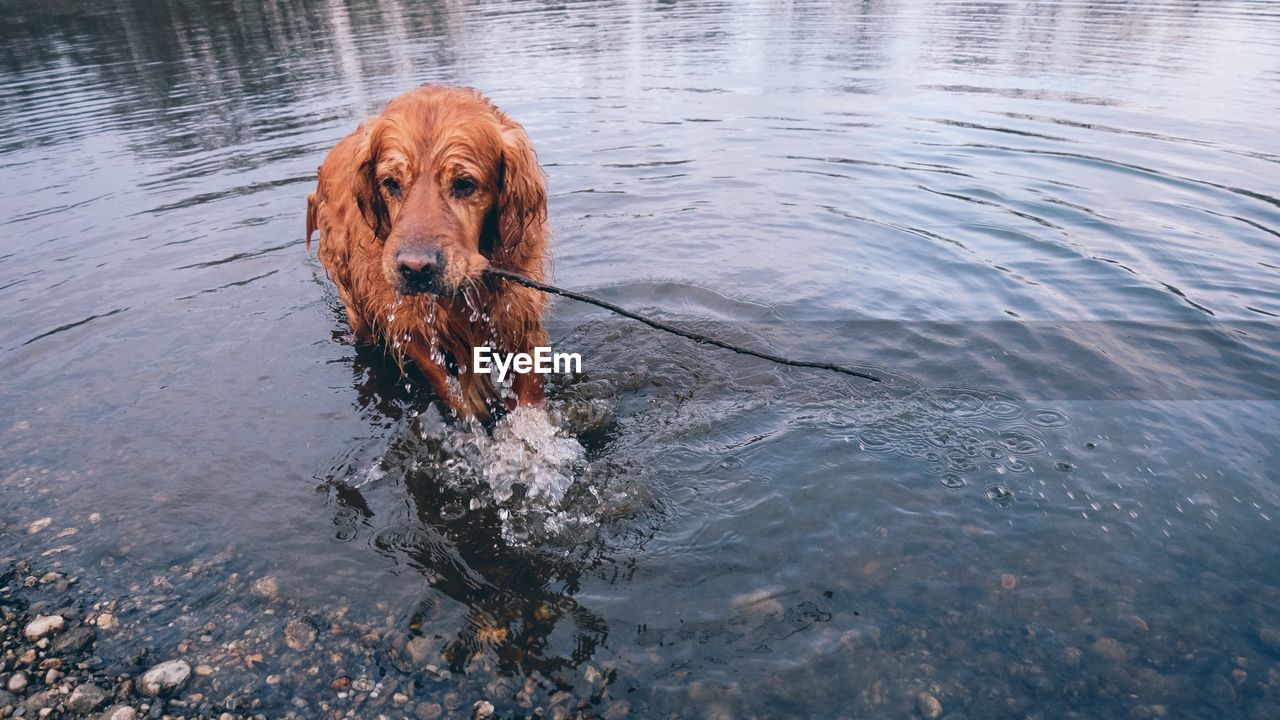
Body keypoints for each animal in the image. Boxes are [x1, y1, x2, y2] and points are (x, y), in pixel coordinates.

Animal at [311, 86, 555, 417]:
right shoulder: (410, 325)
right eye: (390, 182)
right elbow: (456, 395)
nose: (415, 269)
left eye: (464, 184)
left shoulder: (520, 311)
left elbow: (530, 395)